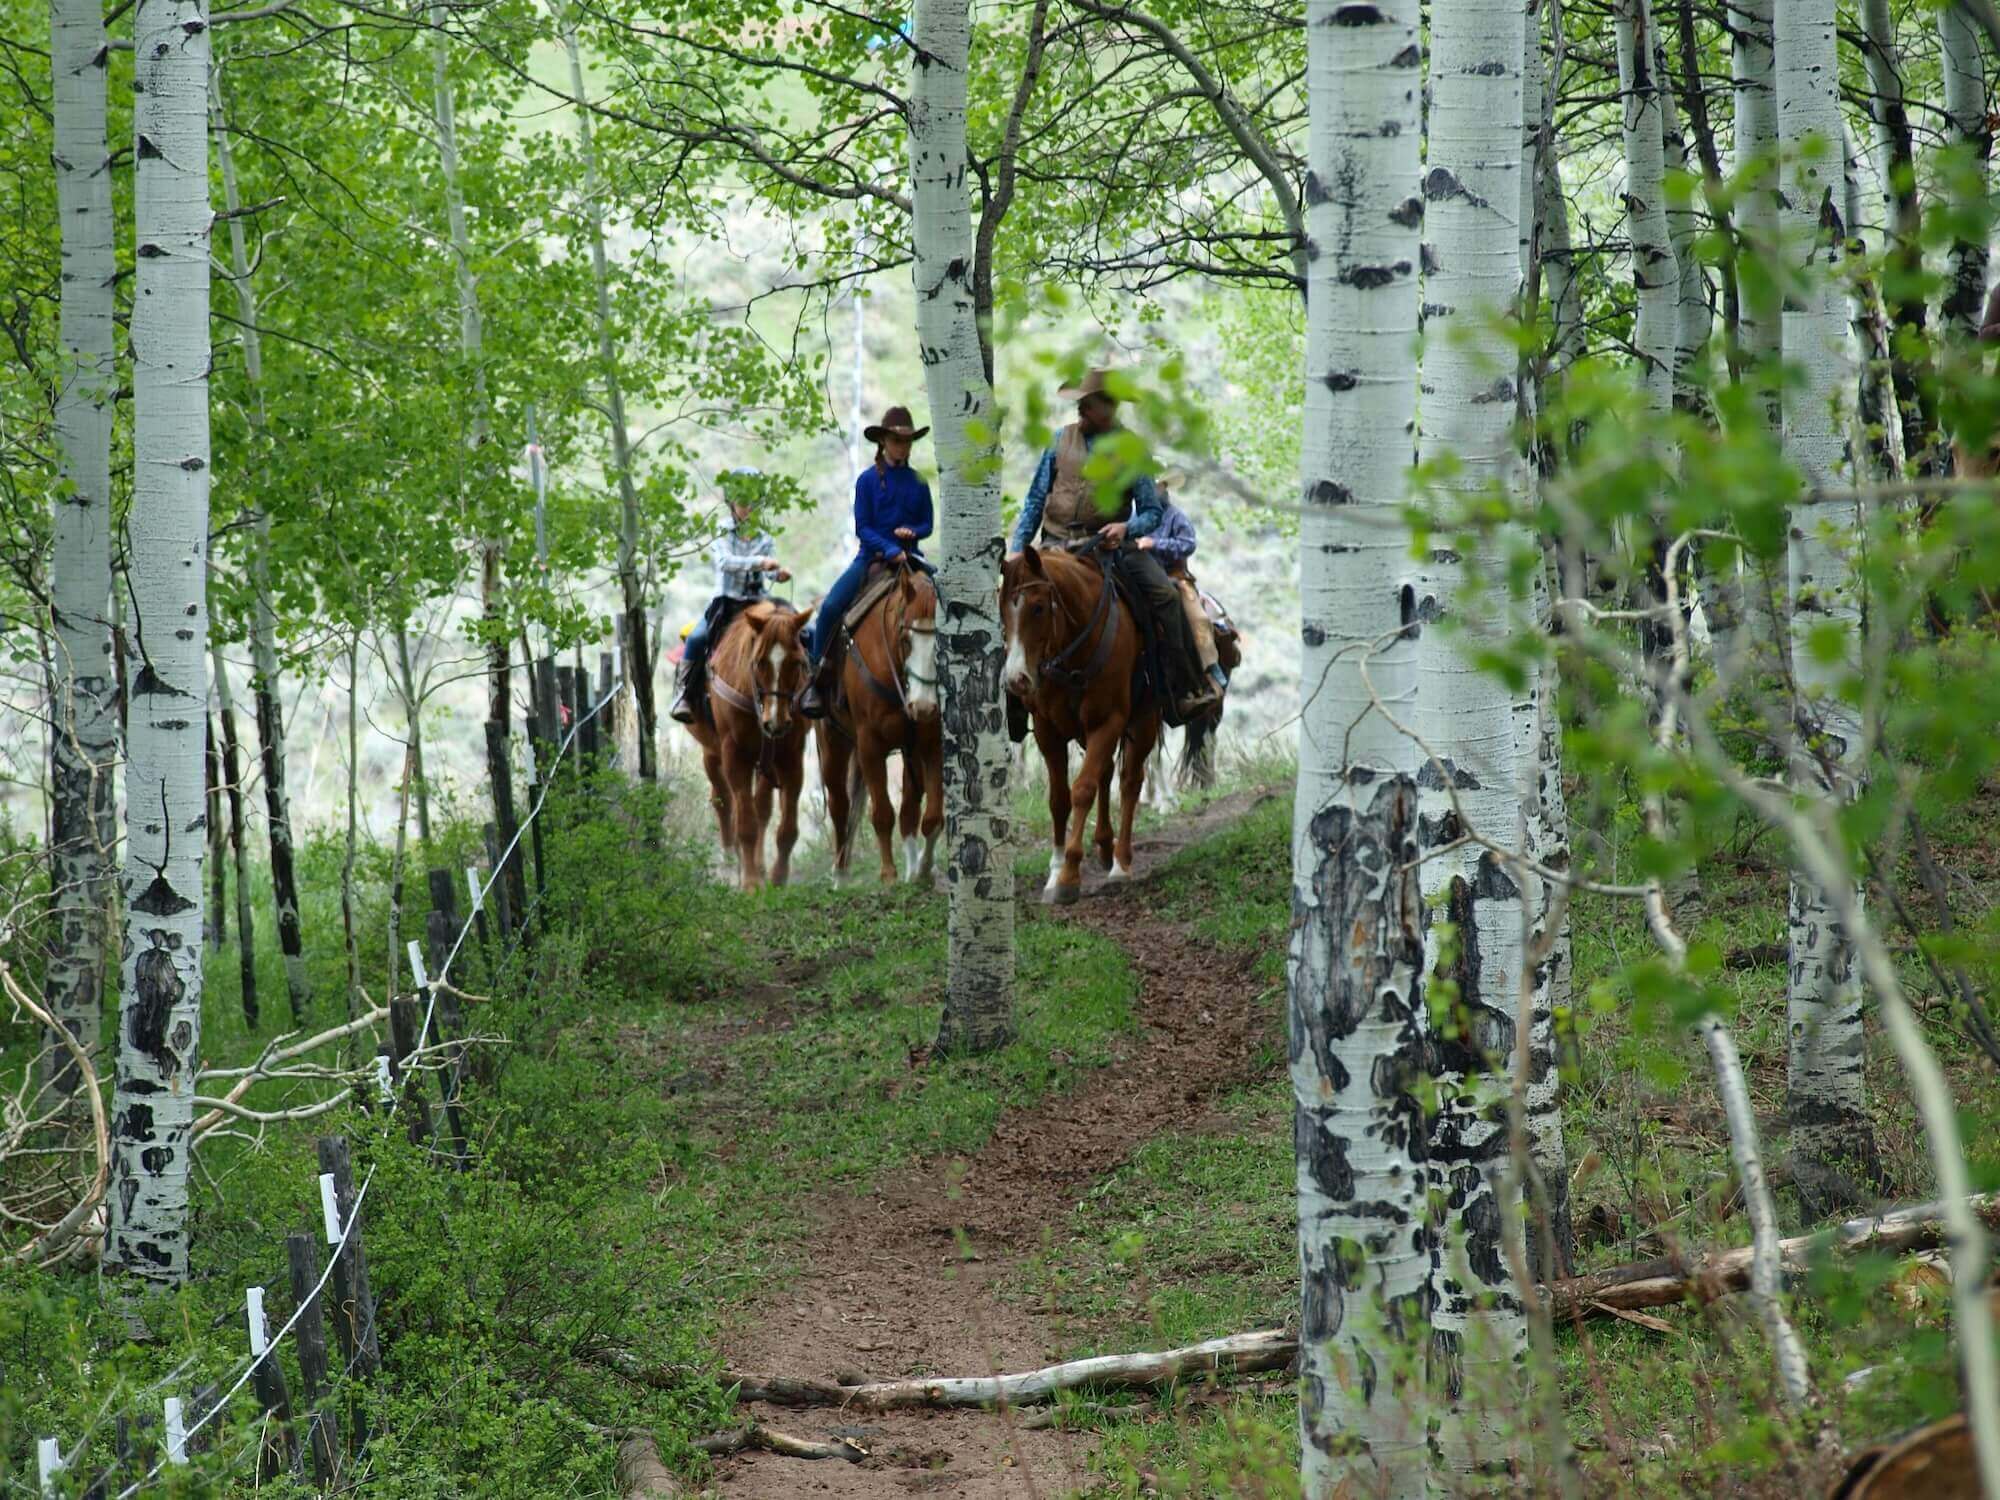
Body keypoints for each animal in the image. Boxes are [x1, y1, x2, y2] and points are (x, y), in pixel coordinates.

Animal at [686, 599, 815, 890]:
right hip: (712, 754)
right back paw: (730, 863)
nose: (775, 722)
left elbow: (786, 828)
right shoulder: (734, 755)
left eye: (798, 662)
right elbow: (745, 823)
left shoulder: (791, 757)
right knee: (723, 802)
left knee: (761, 808)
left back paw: (757, 865)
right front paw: (751, 884)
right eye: (758, 662)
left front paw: (777, 879)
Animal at [817, 562, 944, 885]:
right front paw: (888, 875)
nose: (923, 706)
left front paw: (923, 869)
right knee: (840, 806)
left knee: (909, 807)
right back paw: (840, 873)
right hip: (834, 743)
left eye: (941, 644)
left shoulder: (930, 742)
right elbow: (882, 814)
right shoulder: (870, 745)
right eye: (906, 638)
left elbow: (932, 816)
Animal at [1001, 543, 1161, 903]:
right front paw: (1055, 872)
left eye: (1038, 608)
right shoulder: (1047, 730)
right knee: (1107, 773)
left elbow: (1083, 789)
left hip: (1144, 721)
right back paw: (1104, 845)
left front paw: (1070, 876)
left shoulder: (1108, 721)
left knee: (1129, 782)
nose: (1017, 680)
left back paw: (1120, 864)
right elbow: (1059, 798)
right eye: (1001, 608)